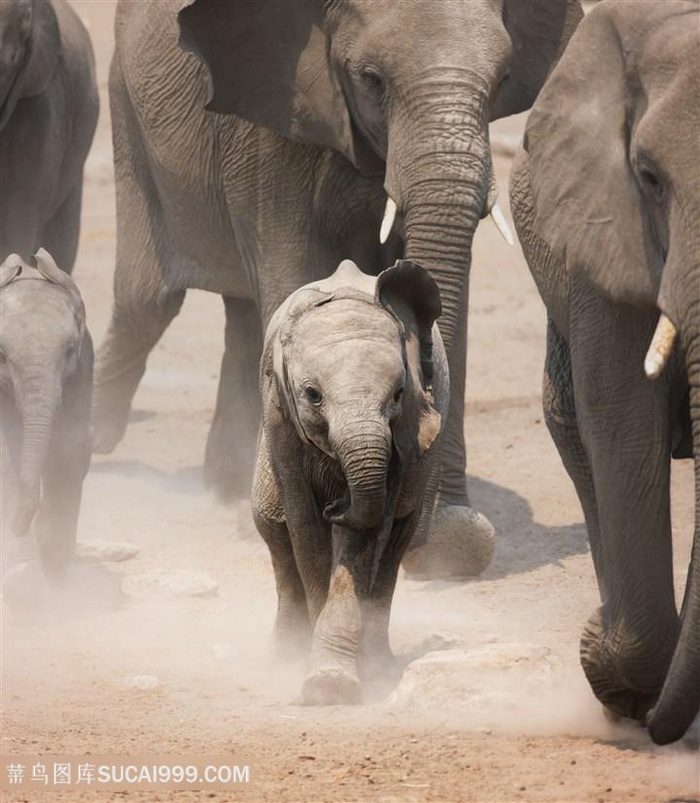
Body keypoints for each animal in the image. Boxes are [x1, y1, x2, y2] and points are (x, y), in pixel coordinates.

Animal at [90, 0, 584, 576]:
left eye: (503, 78)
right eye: (372, 80)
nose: (445, 542)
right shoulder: (270, 126)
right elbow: (294, 275)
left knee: (239, 315)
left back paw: (226, 490)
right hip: (126, 108)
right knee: (148, 300)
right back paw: (96, 449)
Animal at [253, 260, 448, 704]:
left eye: (398, 394)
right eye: (312, 395)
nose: (336, 504)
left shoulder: (402, 436)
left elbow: (363, 540)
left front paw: (332, 685)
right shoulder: (279, 415)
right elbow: (306, 530)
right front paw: (320, 679)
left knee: (395, 543)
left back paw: (379, 665)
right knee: (272, 528)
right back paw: (284, 658)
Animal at [508, 1, 700, 748]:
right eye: (647, 177)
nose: (655, 725)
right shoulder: (601, 225)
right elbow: (622, 421)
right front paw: (606, 663)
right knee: (578, 435)